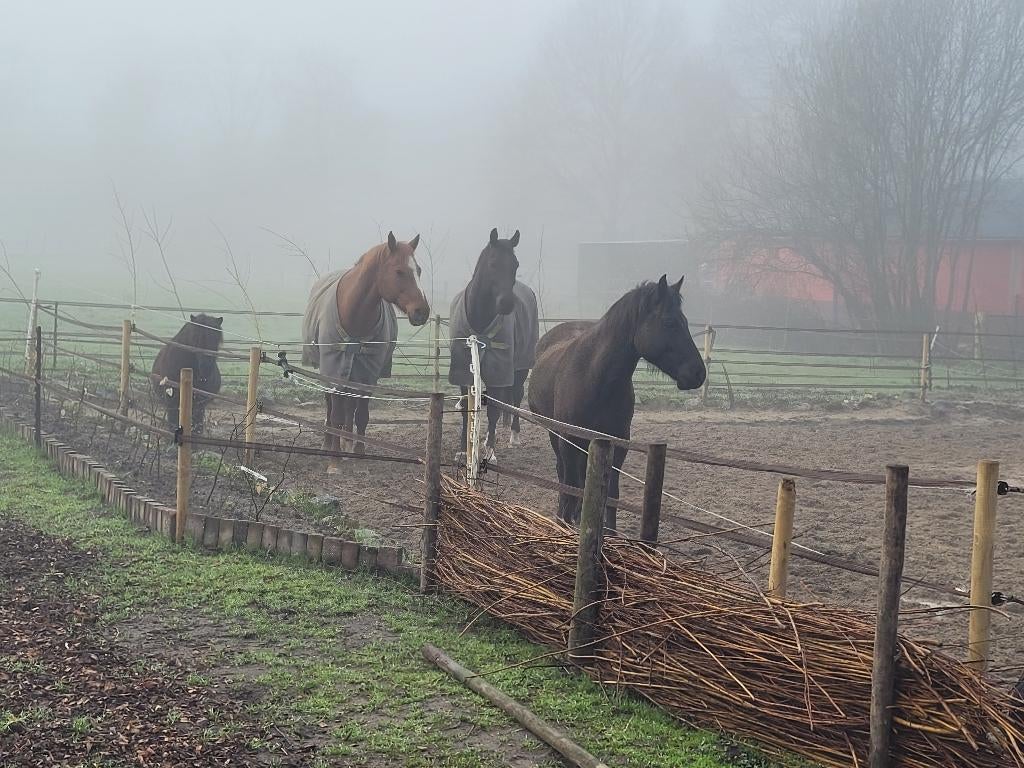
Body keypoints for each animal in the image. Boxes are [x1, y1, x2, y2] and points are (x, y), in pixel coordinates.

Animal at [302, 232, 430, 474]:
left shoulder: (368, 374)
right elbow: (336, 414)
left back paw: (347, 442)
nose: (422, 312)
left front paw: (359, 454)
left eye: (418, 270)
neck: (354, 312)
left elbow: (361, 415)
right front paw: (334, 461)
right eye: (399, 271)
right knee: (331, 407)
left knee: (350, 407)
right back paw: (328, 443)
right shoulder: (334, 371)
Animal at [448, 228, 521, 460]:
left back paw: (513, 435)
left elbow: (494, 412)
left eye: (515, 264)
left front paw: (489, 452)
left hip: (520, 368)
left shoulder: (499, 373)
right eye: (493, 263)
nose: (507, 303)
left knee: (516, 398)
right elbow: (467, 407)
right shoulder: (463, 372)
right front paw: (464, 449)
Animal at [528, 276, 706, 528]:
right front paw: (563, 520)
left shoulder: (618, 441)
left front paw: (609, 531)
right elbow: (569, 483)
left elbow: (611, 493)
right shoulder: (568, 439)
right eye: (670, 322)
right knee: (564, 473)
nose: (698, 373)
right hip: (556, 434)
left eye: (685, 321)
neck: (595, 377)